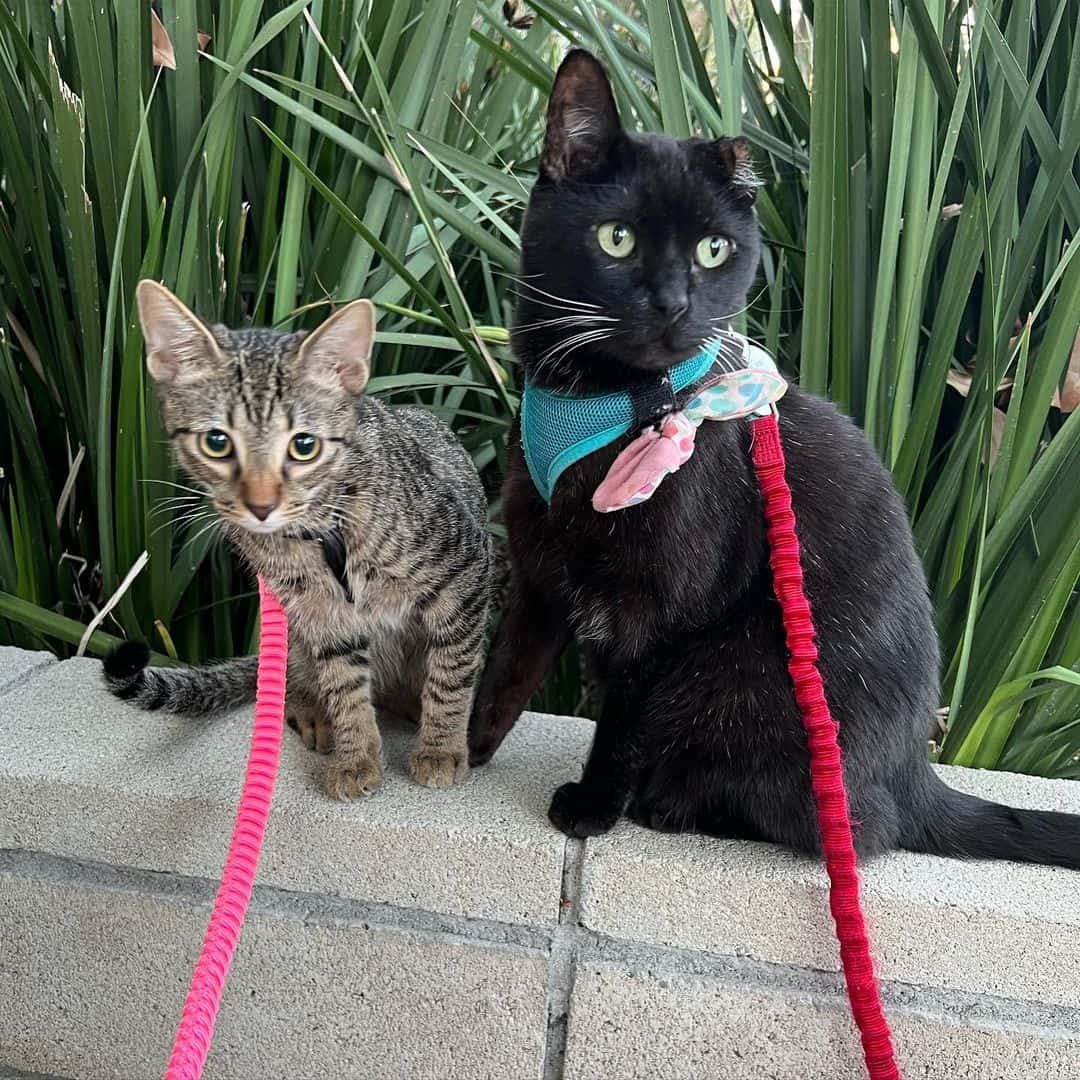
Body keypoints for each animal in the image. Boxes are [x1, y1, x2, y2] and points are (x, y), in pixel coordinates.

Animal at [105, 282, 490, 799]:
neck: (324, 535)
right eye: (216, 442)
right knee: (295, 680)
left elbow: (451, 673)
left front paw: (441, 747)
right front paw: (357, 755)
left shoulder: (464, 576)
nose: (261, 505)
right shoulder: (323, 618)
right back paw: (313, 711)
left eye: (304, 446)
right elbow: (345, 689)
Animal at [470, 50, 1080, 868]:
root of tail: (916, 775)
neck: (601, 404)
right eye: (616, 238)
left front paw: (592, 808)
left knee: (851, 827)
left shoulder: (660, 606)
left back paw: (667, 805)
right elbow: (507, 668)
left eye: (713, 250)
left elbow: (624, 712)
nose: (672, 303)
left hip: (734, 682)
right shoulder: (539, 568)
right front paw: (455, 753)